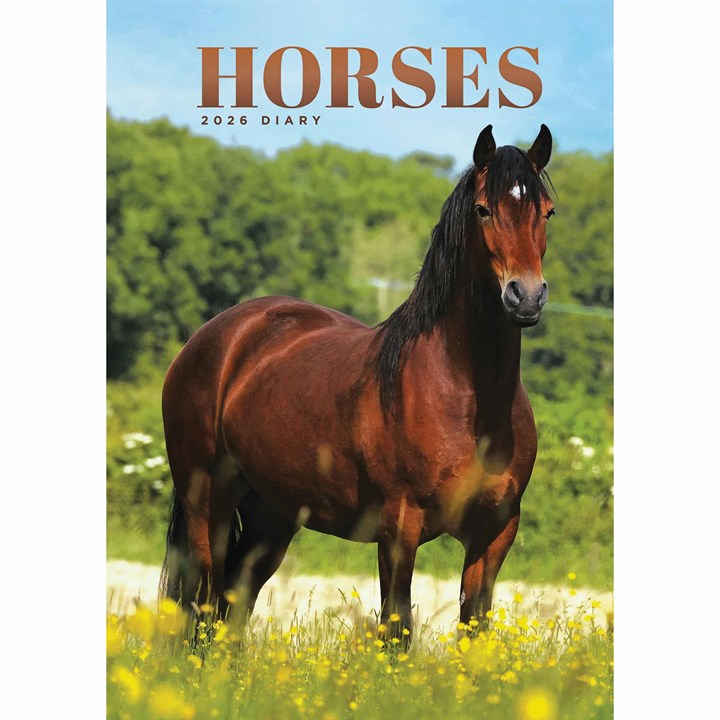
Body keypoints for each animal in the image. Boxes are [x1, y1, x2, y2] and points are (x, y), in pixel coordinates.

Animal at [160, 124, 555, 642]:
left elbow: (475, 629)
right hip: (207, 501)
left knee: (233, 602)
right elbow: (396, 627)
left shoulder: (495, 533)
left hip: (272, 516)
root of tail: (210, 336)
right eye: (483, 209)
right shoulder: (400, 526)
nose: (525, 296)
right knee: (203, 602)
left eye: (547, 211)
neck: (470, 401)